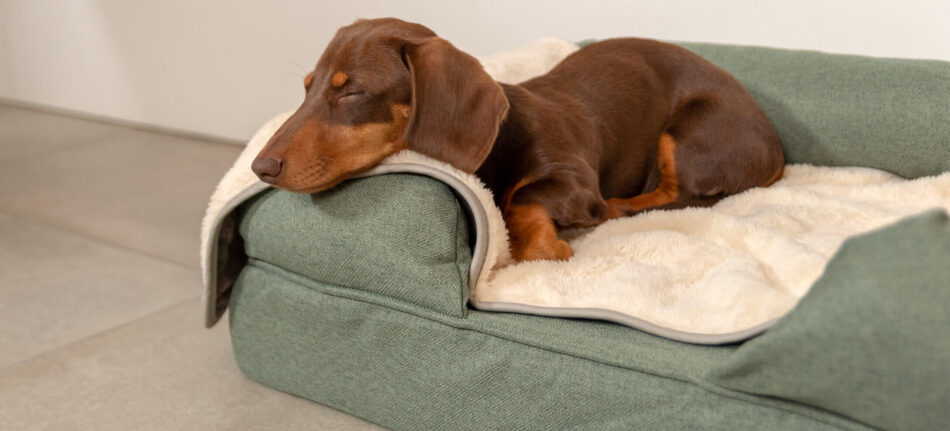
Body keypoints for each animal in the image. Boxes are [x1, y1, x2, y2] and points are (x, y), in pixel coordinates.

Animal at [251, 17, 780, 264]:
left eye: (353, 91)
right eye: (307, 87)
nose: (260, 167)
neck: (504, 141)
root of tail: (777, 152)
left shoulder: (574, 178)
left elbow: (521, 197)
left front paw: (541, 246)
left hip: (691, 130)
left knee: (676, 194)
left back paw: (620, 207)